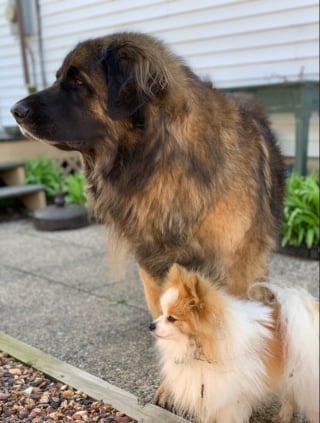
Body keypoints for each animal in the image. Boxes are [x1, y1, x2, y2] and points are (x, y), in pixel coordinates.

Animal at [11, 32, 284, 318]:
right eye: (57, 78)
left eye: (78, 81)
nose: (15, 111)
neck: (158, 159)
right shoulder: (152, 263)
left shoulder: (234, 270)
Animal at [151, 264, 320, 423]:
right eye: (162, 313)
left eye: (171, 318)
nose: (151, 325)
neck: (202, 349)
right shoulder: (207, 396)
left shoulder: (229, 401)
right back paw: (284, 417)